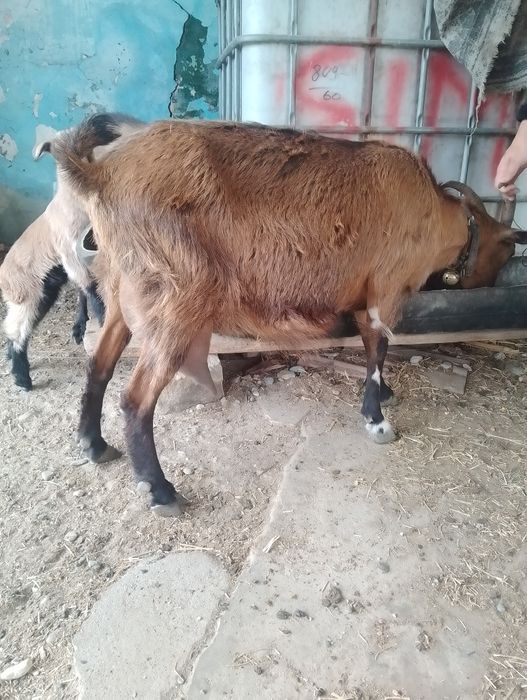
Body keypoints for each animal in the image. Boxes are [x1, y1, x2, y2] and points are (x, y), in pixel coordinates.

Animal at [0, 114, 144, 390]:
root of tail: (4, 277)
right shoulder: (72, 255)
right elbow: (92, 290)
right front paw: (103, 323)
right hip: (27, 296)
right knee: (15, 330)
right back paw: (22, 377)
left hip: (42, 294)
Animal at [50, 115, 523, 517]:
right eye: (504, 250)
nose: (493, 281)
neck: (433, 212)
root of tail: (100, 174)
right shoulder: (384, 290)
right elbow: (377, 347)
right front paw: (376, 419)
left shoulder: (361, 293)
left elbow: (374, 348)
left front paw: (384, 394)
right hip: (174, 298)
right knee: (136, 399)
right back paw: (161, 491)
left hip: (120, 292)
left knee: (99, 366)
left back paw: (93, 445)